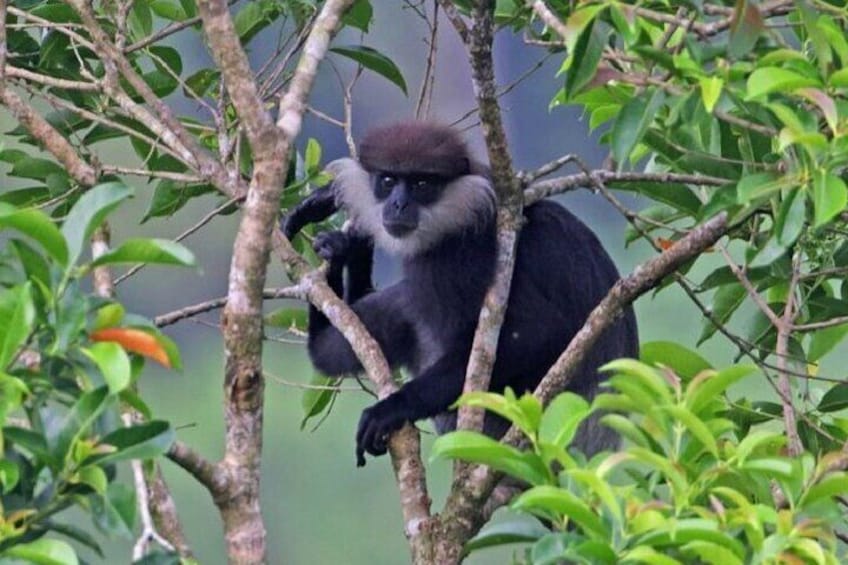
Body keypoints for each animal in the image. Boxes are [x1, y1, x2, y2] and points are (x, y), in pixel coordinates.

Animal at [282, 121, 640, 464]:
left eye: (422, 185)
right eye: (388, 180)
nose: (398, 204)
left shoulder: (461, 257)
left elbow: (534, 333)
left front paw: (392, 409)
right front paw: (334, 218)